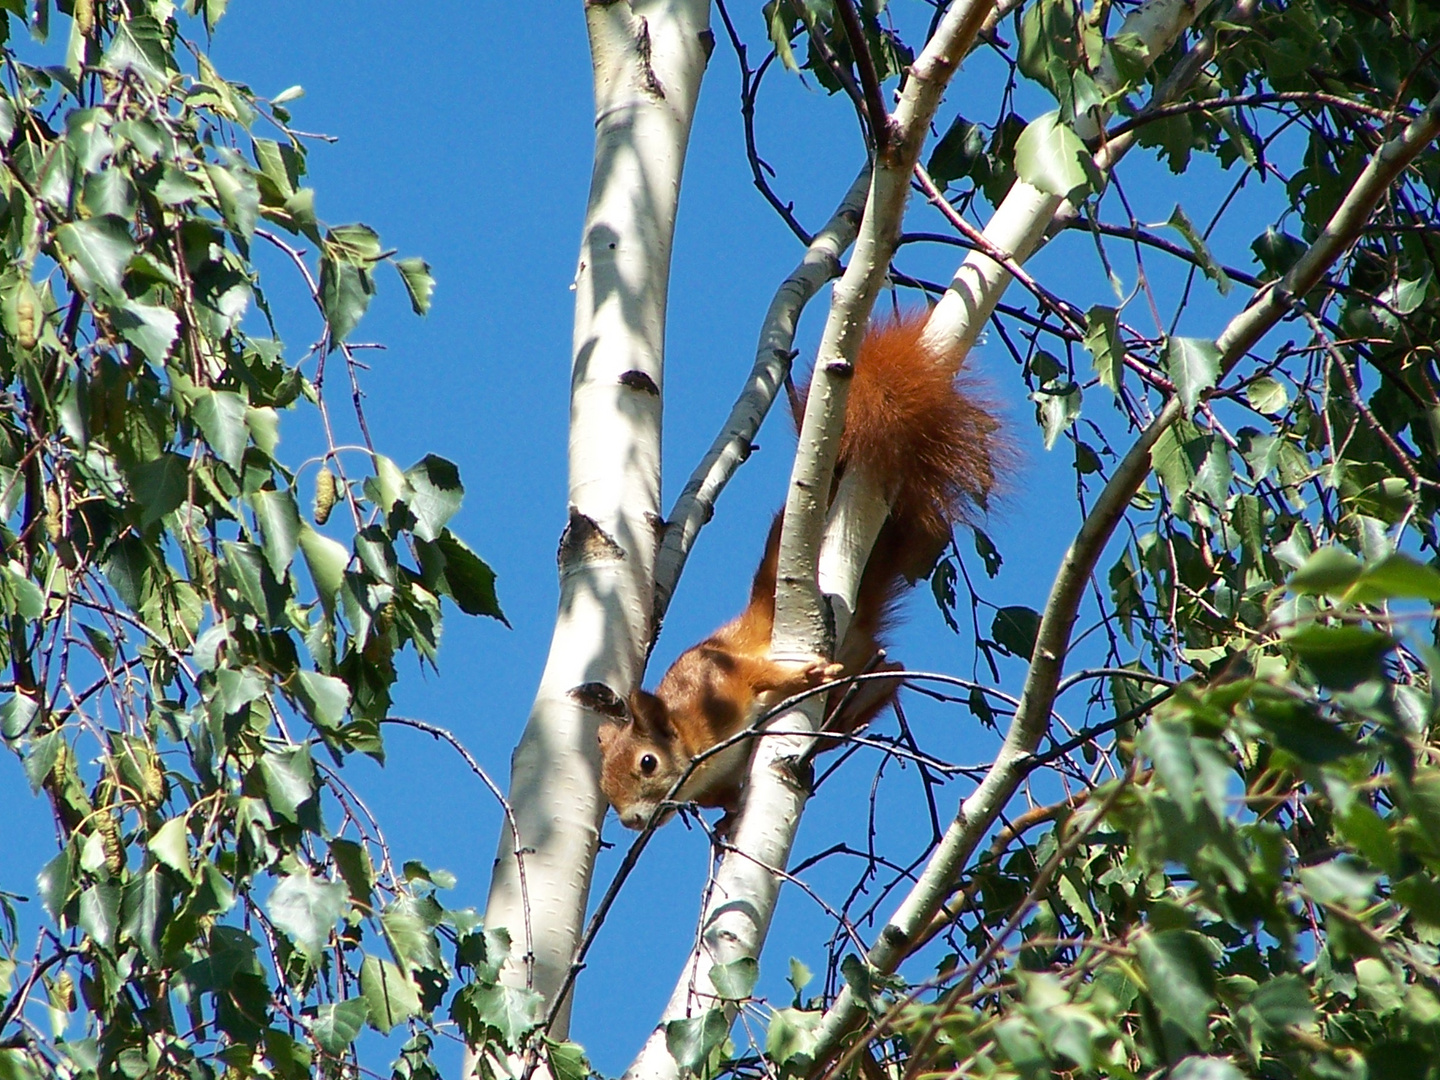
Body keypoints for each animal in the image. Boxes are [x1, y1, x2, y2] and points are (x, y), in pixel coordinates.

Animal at [596, 308, 1002, 835]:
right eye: (605, 788)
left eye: (647, 762)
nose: (631, 821)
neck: (698, 743)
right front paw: (726, 820)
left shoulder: (718, 678)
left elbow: (759, 674)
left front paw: (800, 678)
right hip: (870, 666)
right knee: (887, 676)